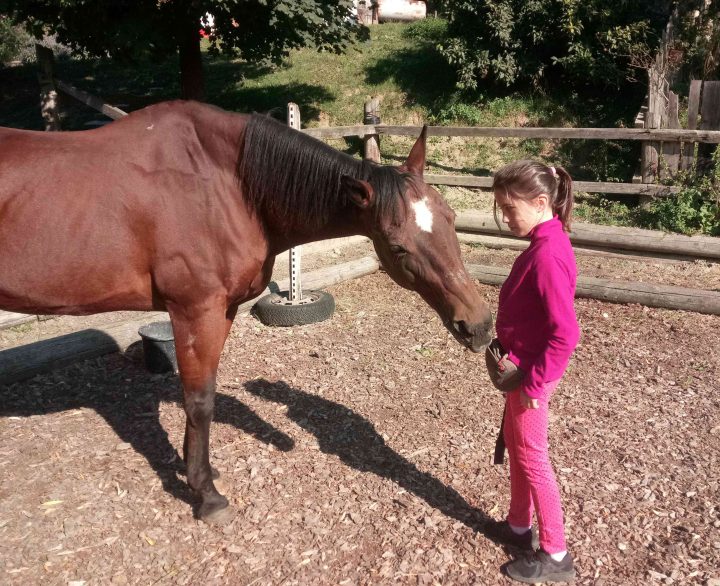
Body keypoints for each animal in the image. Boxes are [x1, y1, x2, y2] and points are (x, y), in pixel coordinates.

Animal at [0, 101, 492, 520]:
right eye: (398, 246)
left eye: (451, 218)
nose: (480, 325)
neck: (225, 185)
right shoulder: (194, 311)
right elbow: (198, 401)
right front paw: (206, 496)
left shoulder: (221, 312)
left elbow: (206, 395)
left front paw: (198, 470)